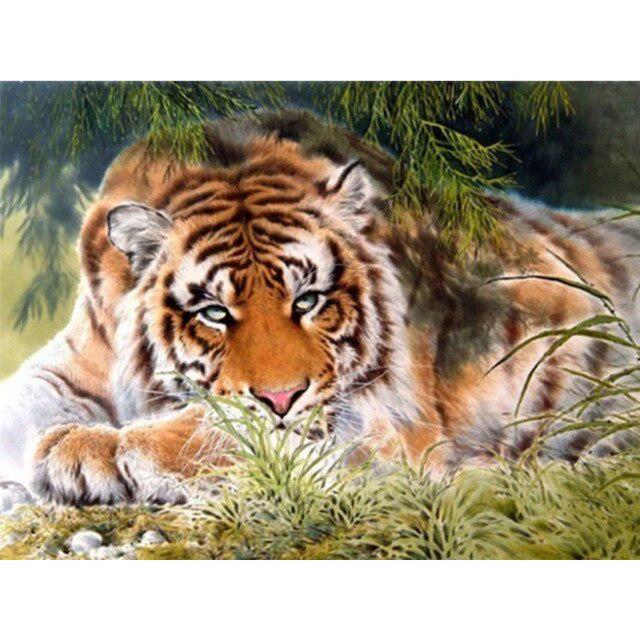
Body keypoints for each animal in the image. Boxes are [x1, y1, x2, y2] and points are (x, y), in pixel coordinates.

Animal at [0, 109, 638, 506]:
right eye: (214, 312)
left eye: (308, 301)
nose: (283, 396)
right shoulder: (73, 357)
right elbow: (26, 404)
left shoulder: (378, 417)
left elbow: (226, 424)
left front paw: (95, 447)